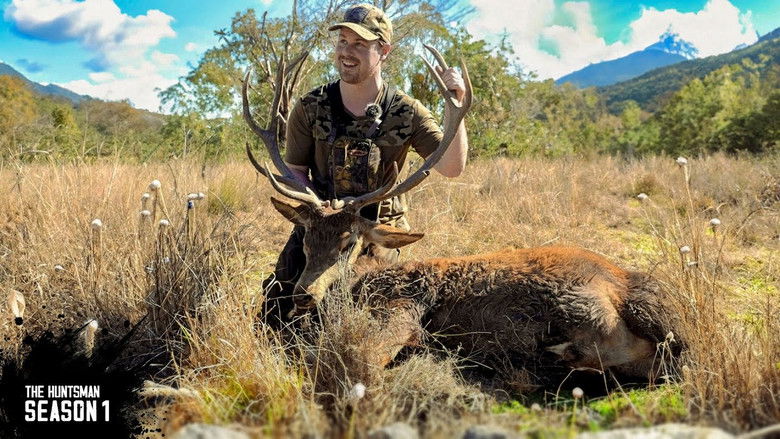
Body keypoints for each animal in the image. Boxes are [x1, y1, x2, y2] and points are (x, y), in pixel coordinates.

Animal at [242, 46, 682, 388]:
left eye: (349, 242)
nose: (303, 293)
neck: (361, 283)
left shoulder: (399, 309)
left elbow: (354, 360)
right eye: (305, 237)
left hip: (581, 310)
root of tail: (629, 291)